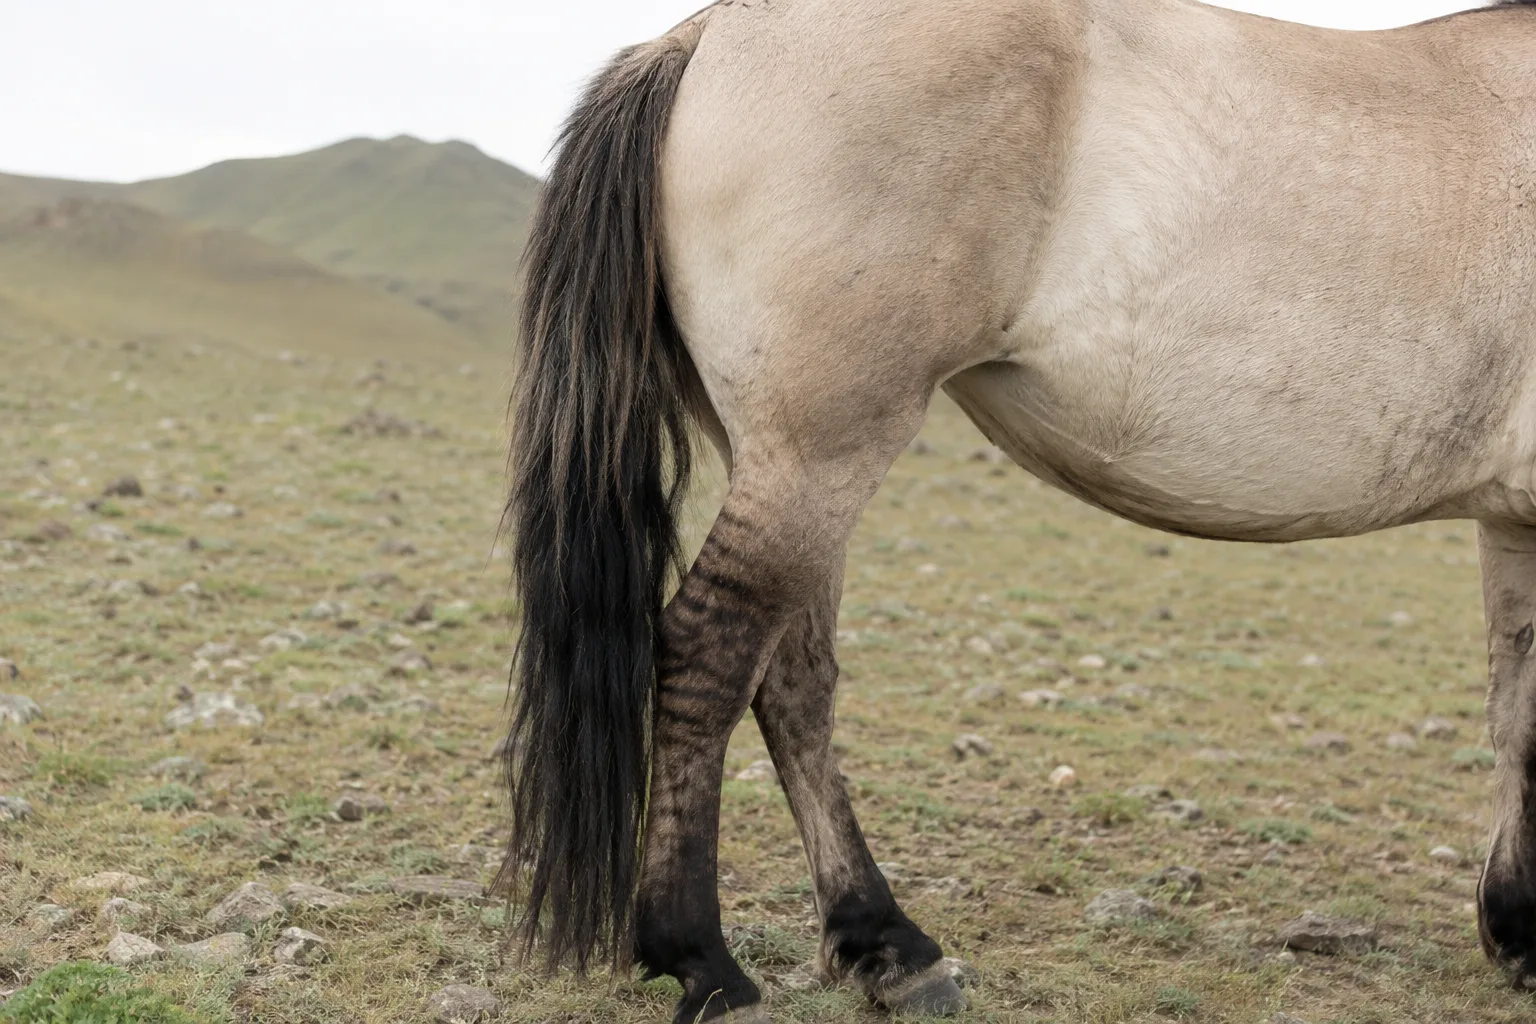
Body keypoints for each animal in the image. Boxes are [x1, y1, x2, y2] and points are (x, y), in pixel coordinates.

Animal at [500, 0, 1536, 1019]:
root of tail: (707, 33)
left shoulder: (1514, 524)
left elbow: (1514, 712)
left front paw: (1517, 929)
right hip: (817, 451)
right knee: (709, 651)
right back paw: (703, 959)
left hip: (779, 455)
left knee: (791, 678)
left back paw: (884, 946)